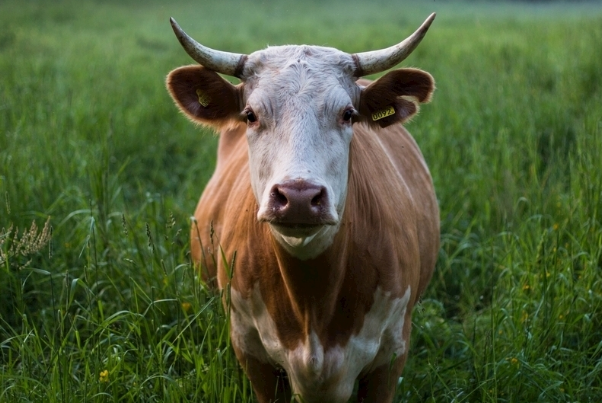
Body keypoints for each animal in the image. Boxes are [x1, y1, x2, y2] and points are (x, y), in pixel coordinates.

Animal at [166, 12, 438, 403]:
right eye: (250, 114)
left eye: (349, 114)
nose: (298, 197)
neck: (312, 305)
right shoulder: (251, 351)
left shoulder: (391, 356)